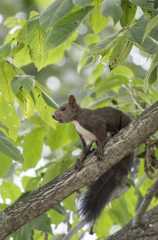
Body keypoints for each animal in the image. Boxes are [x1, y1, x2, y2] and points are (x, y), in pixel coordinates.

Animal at [52, 95, 134, 225]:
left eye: (63, 108)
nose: (53, 116)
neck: (77, 120)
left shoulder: (95, 122)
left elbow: (101, 136)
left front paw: (99, 149)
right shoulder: (85, 137)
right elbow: (85, 149)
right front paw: (80, 160)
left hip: (125, 118)